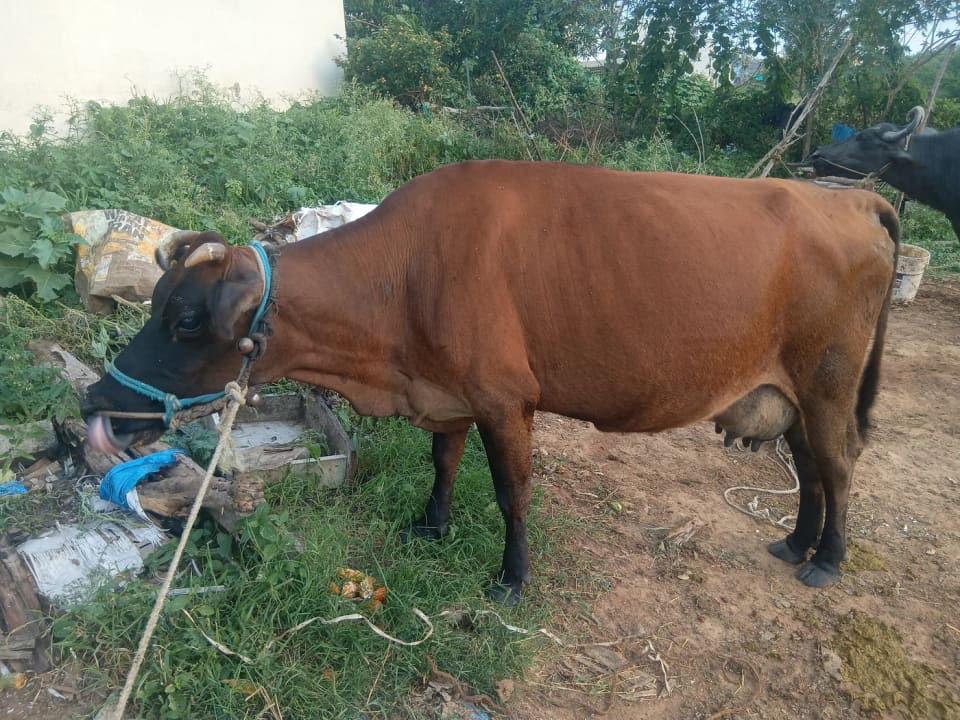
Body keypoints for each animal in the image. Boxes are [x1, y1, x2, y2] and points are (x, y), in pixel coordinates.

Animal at [82, 161, 900, 604]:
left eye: (187, 319)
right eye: (157, 305)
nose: (95, 402)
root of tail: (850, 197)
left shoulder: (507, 400)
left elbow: (512, 493)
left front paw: (512, 576)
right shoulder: (447, 395)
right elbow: (443, 461)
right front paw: (432, 525)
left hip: (827, 380)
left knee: (838, 464)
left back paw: (827, 559)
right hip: (793, 392)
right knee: (810, 467)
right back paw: (795, 543)